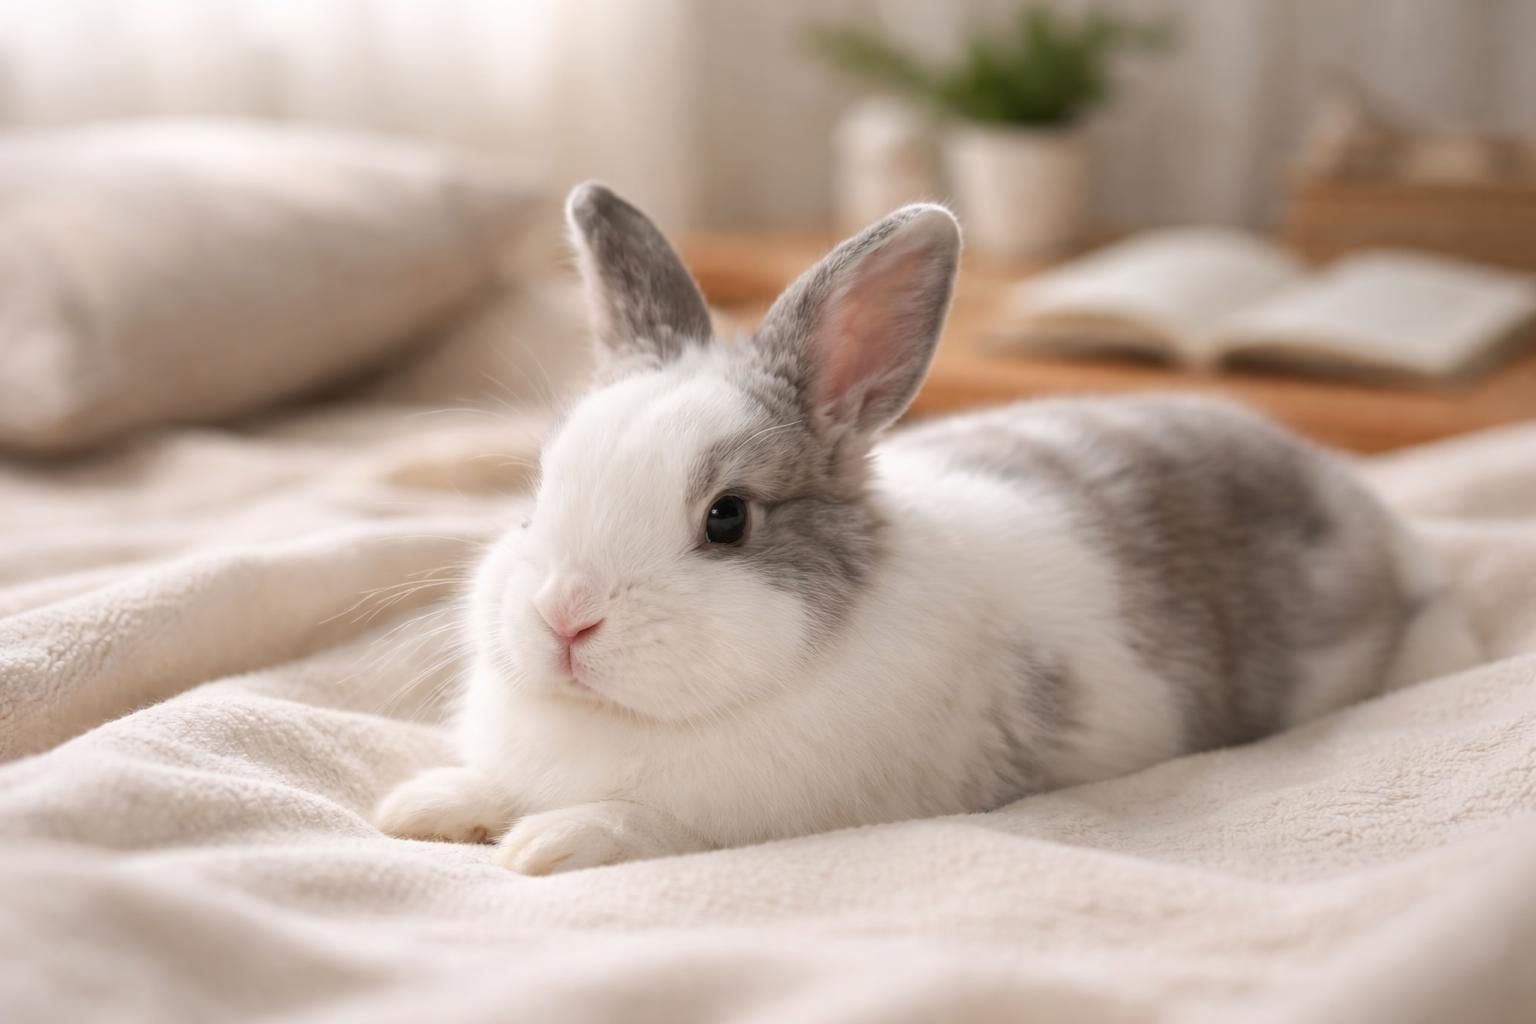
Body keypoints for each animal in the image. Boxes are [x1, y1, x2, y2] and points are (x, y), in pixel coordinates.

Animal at [374, 183, 1482, 874]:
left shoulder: (770, 812)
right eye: (537, 491)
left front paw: (551, 843)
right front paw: (425, 806)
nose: (565, 617)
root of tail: (1368, 515)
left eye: (727, 518)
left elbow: (652, 822)